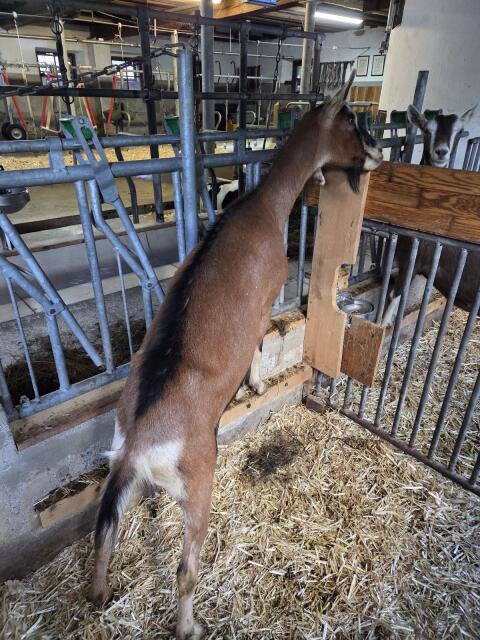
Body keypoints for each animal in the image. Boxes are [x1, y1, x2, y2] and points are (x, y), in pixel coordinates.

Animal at [88, 73, 383, 639]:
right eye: (352, 122)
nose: (377, 155)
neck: (263, 206)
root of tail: (140, 443)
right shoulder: (267, 295)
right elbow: (261, 341)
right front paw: (257, 384)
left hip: (124, 478)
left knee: (105, 533)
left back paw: (99, 595)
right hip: (198, 484)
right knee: (185, 569)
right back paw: (190, 627)